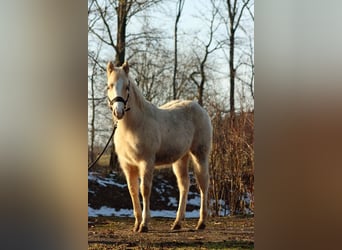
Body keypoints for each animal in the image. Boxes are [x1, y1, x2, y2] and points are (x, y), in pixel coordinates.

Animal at [107, 61, 212, 233]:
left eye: (127, 86)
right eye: (109, 86)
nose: (119, 112)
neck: (133, 126)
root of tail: (200, 108)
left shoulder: (146, 162)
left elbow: (145, 190)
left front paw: (144, 224)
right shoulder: (128, 165)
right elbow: (132, 190)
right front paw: (136, 224)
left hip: (199, 155)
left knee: (203, 185)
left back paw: (201, 223)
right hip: (181, 159)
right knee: (184, 185)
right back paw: (177, 223)